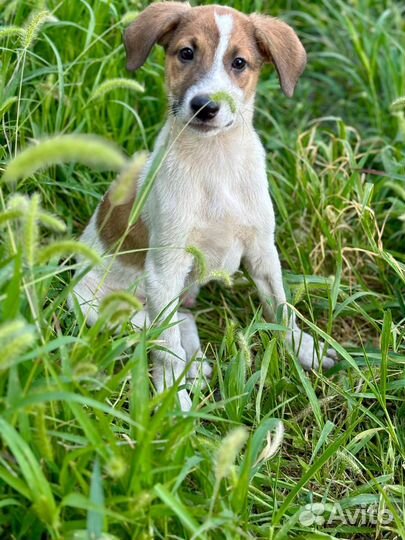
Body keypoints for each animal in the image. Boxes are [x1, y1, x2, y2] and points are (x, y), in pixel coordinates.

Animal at [71, 2, 336, 412]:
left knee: (182, 321)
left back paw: (195, 366)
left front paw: (302, 348)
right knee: (156, 331)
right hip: (100, 306)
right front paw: (170, 397)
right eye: (186, 53)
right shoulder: (165, 267)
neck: (216, 161)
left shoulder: (262, 250)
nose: (205, 106)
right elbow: (165, 347)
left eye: (239, 62)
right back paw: (186, 371)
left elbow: (282, 308)